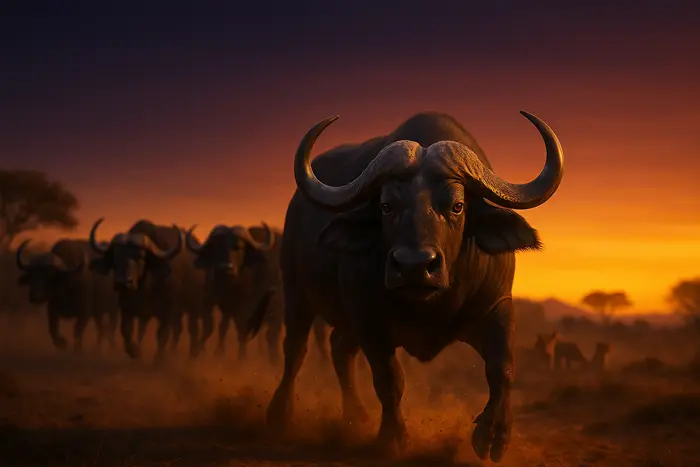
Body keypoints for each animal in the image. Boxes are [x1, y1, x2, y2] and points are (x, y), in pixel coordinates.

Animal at [88, 218, 205, 363]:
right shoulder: (127, 309)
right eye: (116, 257)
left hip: (194, 305)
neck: (144, 289)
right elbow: (126, 331)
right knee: (177, 330)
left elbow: (162, 334)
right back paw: (173, 353)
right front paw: (135, 351)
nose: (122, 282)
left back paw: (191, 356)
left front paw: (158, 360)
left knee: (192, 329)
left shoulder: (166, 311)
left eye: (141, 257)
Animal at [247, 111, 563, 462]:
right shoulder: (369, 319)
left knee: (339, 349)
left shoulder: (497, 306)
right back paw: (280, 415)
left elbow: (502, 368)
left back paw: (355, 417)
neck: (428, 304)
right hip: (295, 292)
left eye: (457, 206)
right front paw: (392, 438)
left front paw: (493, 435)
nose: (414, 266)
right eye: (386, 206)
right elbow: (389, 380)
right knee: (295, 349)